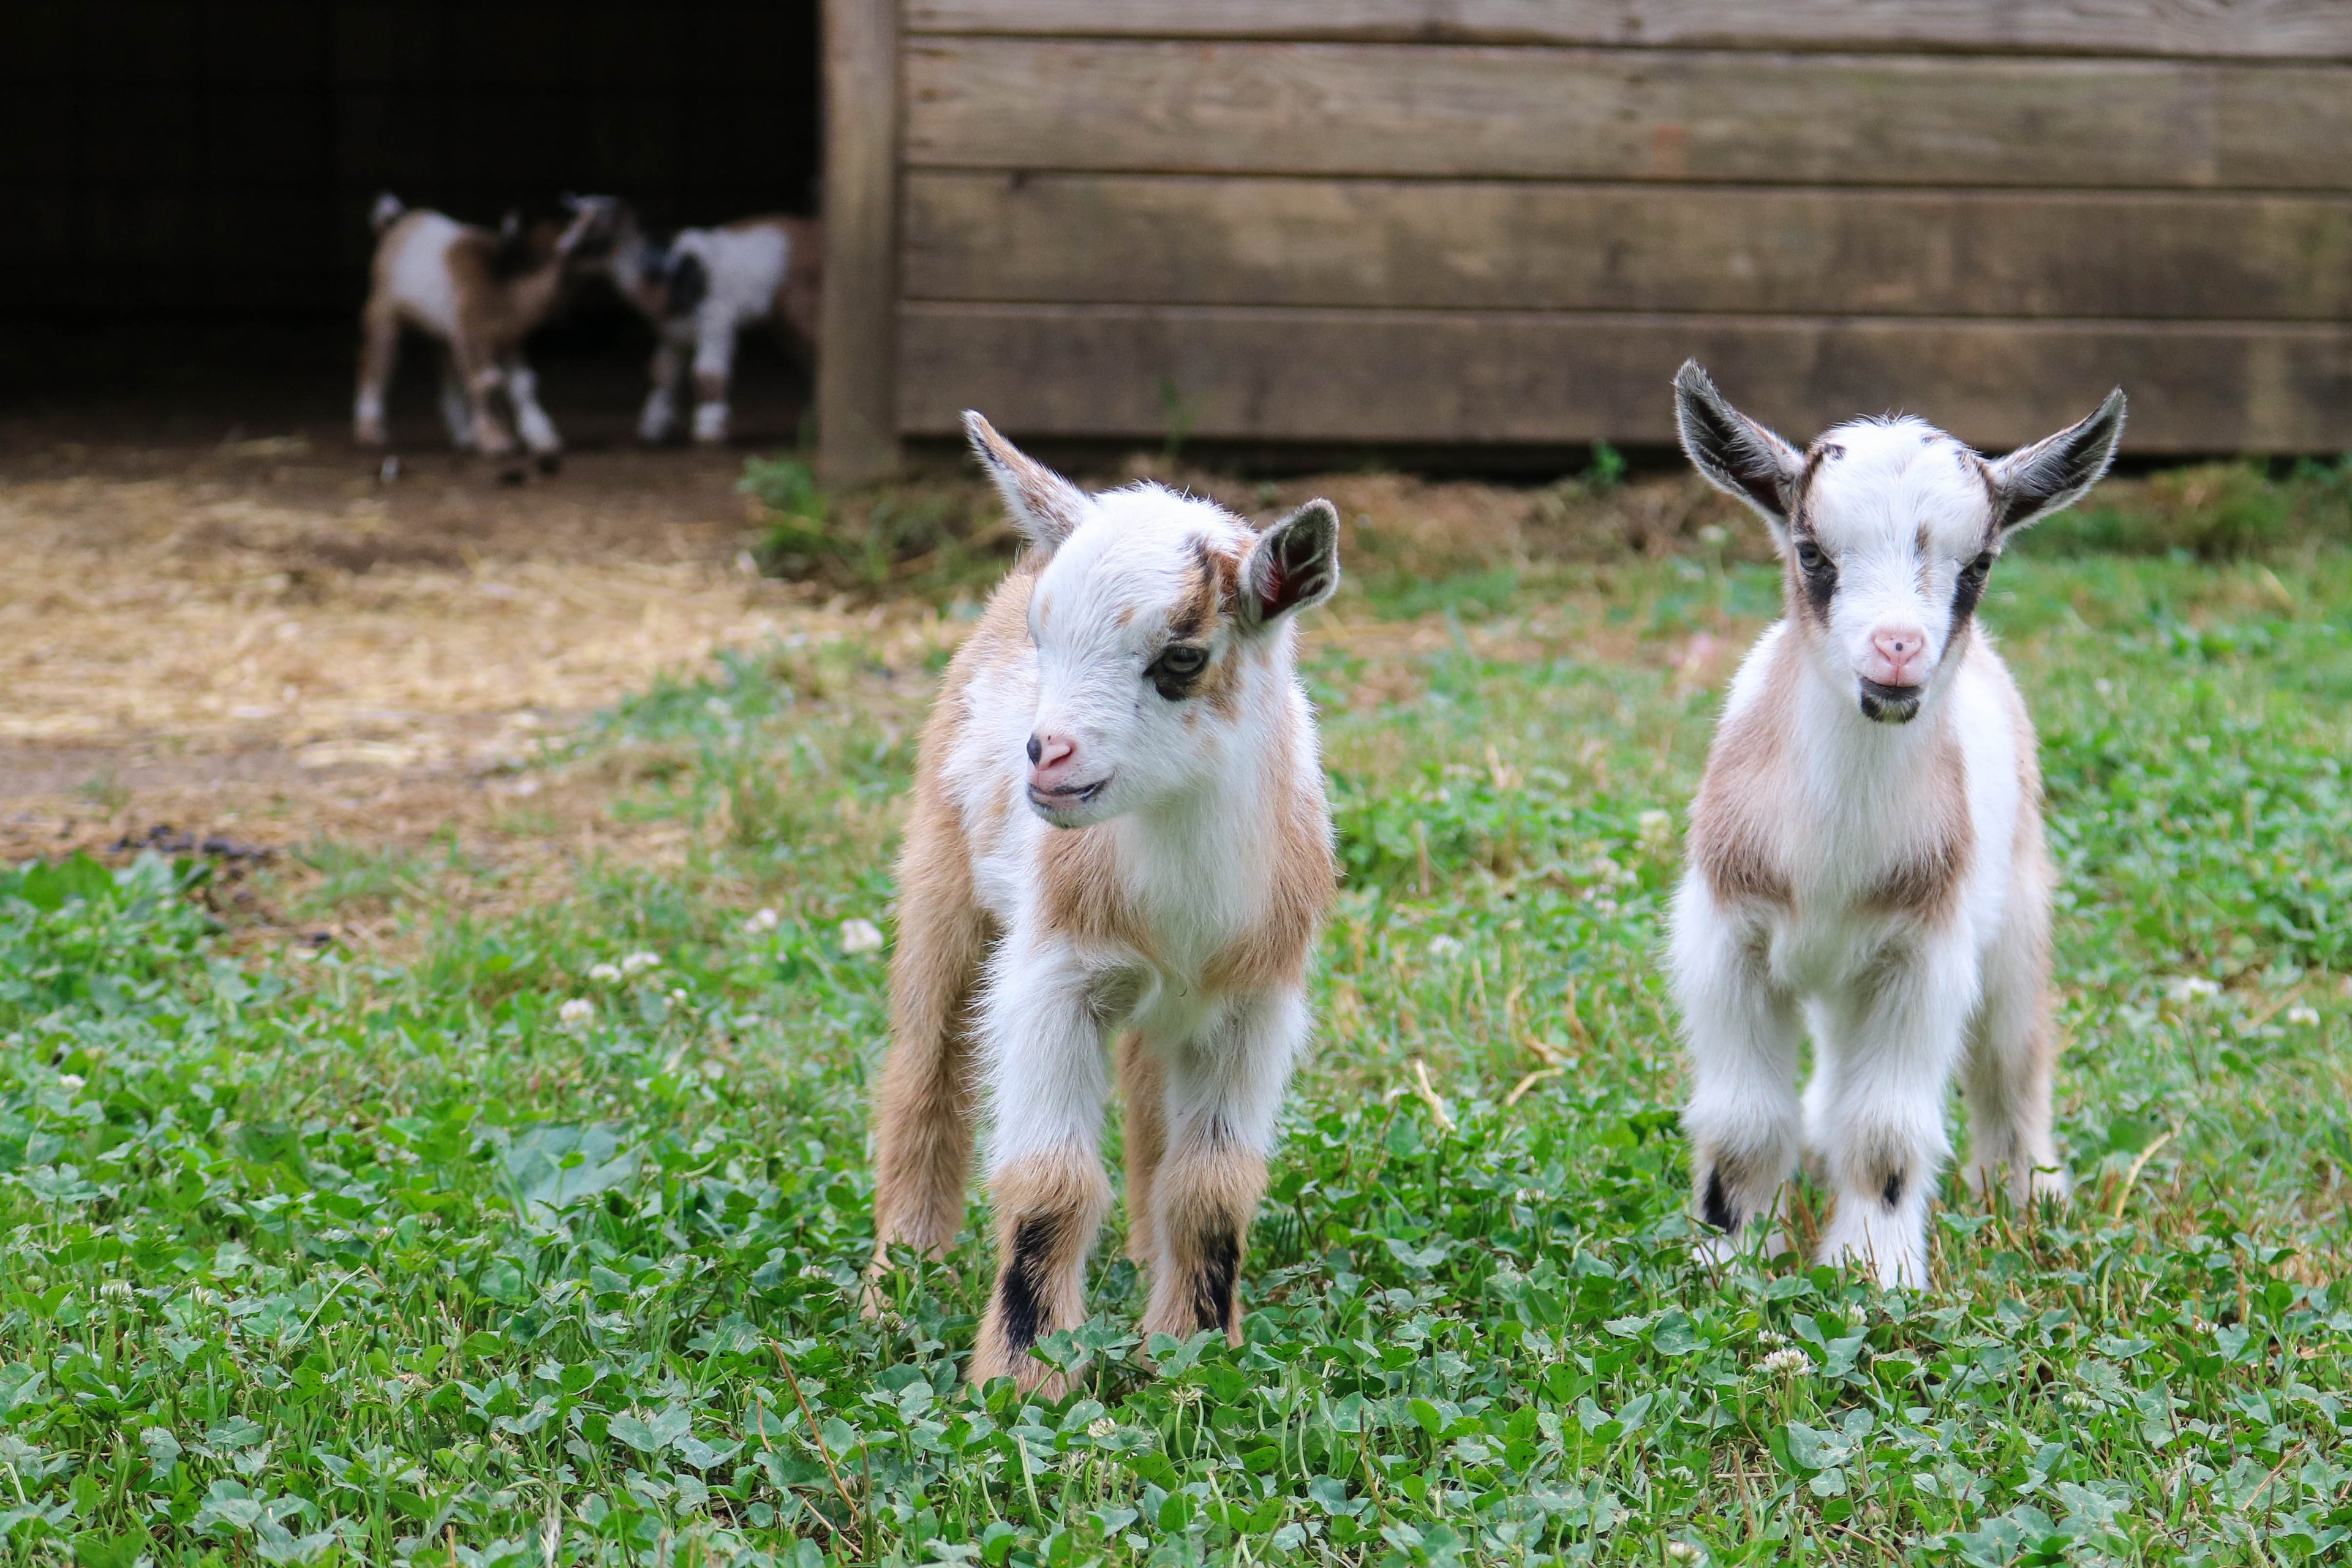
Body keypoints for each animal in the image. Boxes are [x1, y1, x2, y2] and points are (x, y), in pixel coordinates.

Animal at [353, 193, 609, 471]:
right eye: (571, 243)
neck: (502, 280)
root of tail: (394, 223)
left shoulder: (505, 339)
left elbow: (522, 384)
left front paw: (541, 437)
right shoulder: (472, 333)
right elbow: (486, 381)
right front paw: (494, 439)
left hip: (445, 335)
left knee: (448, 370)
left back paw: (465, 435)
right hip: (383, 313)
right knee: (377, 364)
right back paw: (369, 430)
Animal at [573, 197, 821, 445]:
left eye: (595, 230)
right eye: (576, 223)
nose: (568, 251)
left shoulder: (715, 322)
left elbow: (706, 373)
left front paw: (708, 430)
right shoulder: (672, 334)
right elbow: (662, 374)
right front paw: (652, 428)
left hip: (801, 307)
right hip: (783, 321)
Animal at [866, 414, 1340, 1391]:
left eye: (1182, 657)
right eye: (1045, 639)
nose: (1046, 755)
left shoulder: (1255, 1003)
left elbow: (1213, 1187)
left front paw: (1195, 1354)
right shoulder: (1055, 976)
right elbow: (1053, 1182)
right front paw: (1024, 1374)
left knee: (1149, 1093)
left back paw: (1145, 1263)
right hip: (943, 881)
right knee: (925, 1069)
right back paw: (898, 1285)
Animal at [1667, 360, 2124, 1288]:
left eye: (1978, 563)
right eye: (1811, 552)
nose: (1897, 650)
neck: (1831, 856)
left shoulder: (1922, 955)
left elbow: (1886, 1130)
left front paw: (1875, 1271)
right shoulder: (1728, 938)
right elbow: (1742, 1120)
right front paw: (1728, 1253)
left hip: (2015, 919)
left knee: (2012, 1055)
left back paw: (2030, 1194)